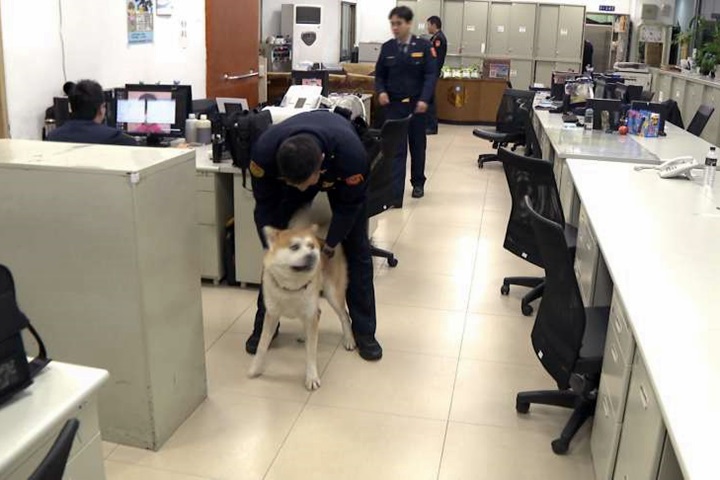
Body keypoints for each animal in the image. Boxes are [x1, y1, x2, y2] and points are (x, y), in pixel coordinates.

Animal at [249, 221, 356, 390]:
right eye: (294, 247)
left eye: (311, 247)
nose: (313, 255)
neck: (292, 287)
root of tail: (323, 238)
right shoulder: (272, 315)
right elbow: (262, 345)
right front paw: (256, 368)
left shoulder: (310, 314)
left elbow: (311, 352)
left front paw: (311, 377)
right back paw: (303, 334)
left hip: (332, 293)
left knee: (344, 316)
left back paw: (349, 339)